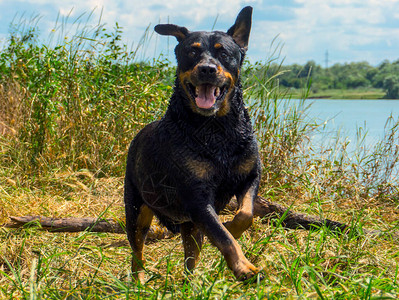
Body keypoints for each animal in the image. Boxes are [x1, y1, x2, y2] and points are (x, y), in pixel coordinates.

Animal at [125, 5, 262, 282]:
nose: (207, 68)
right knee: (137, 250)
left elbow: (245, 214)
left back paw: (190, 283)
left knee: (190, 255)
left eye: (224, 53)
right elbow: (223, 236)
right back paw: (139, 281)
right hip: (136, 209)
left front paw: (233, 227)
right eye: (192, 52)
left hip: (190, 226)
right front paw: (244, 267)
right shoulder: (196, 196)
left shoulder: (250, 176)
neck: (217, 130)